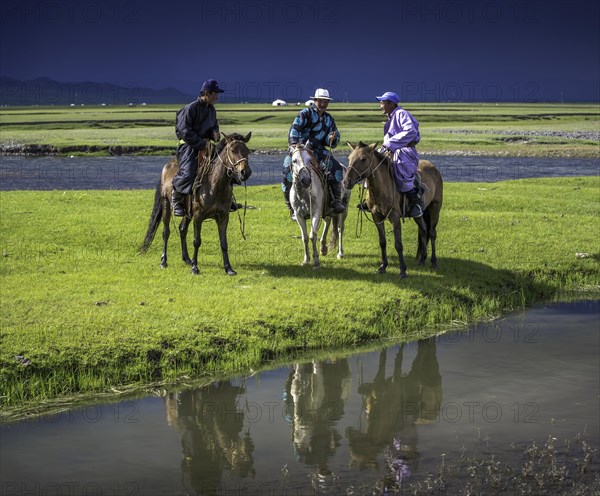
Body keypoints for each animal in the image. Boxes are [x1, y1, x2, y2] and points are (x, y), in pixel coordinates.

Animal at [140, 133, 251, 276]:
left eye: (247, 151)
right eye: (232, 150)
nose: (245, 172)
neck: (214, 184)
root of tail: (167, 166)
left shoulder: (223, 217)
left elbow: (224, 243)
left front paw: (228, 268)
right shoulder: (198, 216)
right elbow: (197, 241)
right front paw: (195, 268)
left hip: (187, 213)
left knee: (182, 229)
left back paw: (187, 259)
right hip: (166, 205)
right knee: (166, 232)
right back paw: (164, 261)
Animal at [342, 142, 440, 280]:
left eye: (363, 159)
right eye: (349, 158)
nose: (346, 182)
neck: (382, 188)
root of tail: (433, 167)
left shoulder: (395, 217)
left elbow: (398, 244)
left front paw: (403, 270)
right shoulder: (376, 217)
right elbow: (382, 242)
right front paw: (383, 266)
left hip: (435, 207)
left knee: (431, 232)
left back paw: (434, 261)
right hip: (419, 214)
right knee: (423, 230)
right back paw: (422, 259)